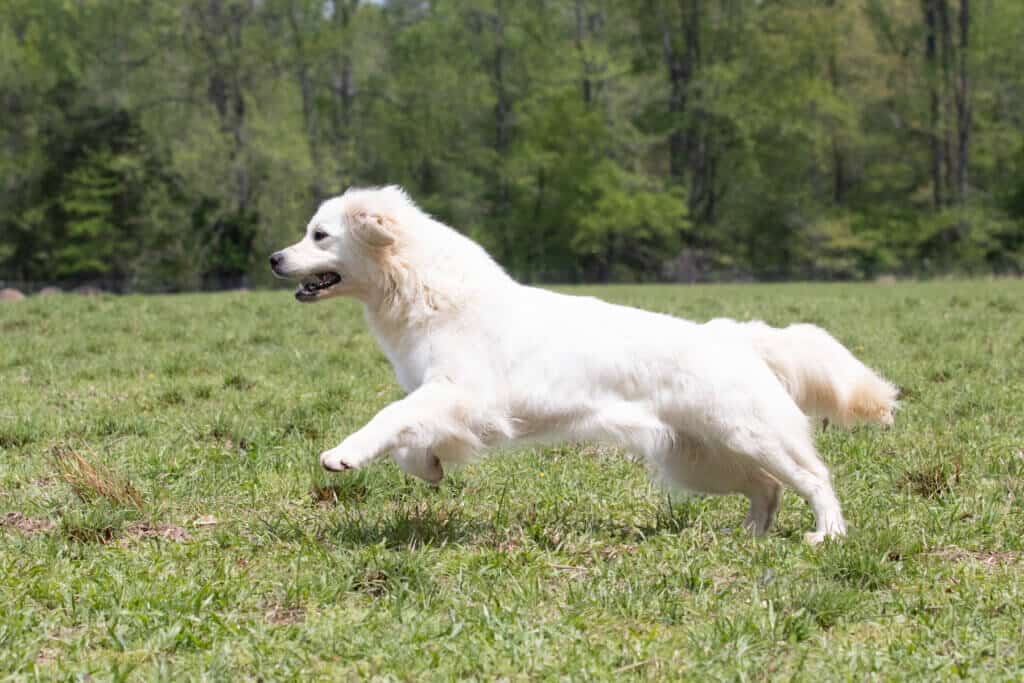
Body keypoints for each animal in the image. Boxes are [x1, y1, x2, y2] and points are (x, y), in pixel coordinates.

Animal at [272, 184, 897, 540]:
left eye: (319, 234)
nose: (275, 257)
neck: (424, 289)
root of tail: (733, 336)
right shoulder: (446, 397)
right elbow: (410, 433)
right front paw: (427, 468)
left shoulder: (461, 392)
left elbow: (390, 417)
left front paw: (344, 455)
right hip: (698, 459)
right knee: (766, 489)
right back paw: (749, 537)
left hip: (752, 436)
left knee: (813, 479)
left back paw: (828, 535)